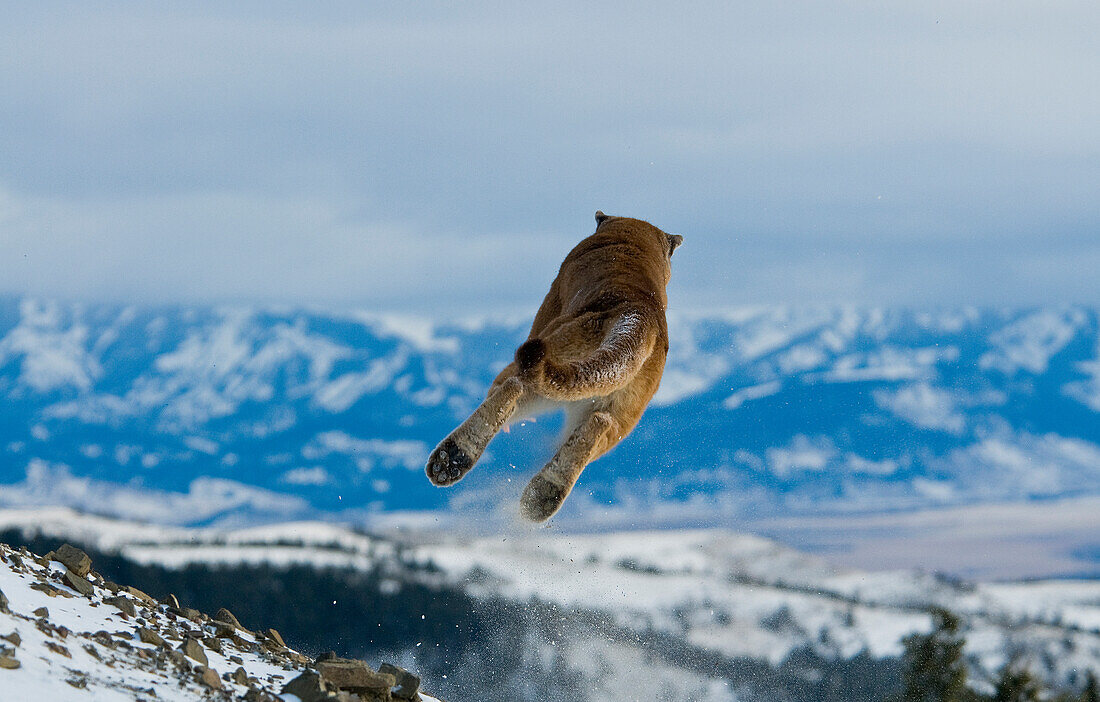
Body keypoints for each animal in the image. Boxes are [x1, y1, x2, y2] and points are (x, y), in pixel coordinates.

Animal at [426, 211, 677, 525]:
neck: (633, 241)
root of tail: (639, 314)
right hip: (612, 406)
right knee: (599, 425)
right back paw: (542, 495)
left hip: (549, 353)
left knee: (513, 386)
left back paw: (452, 457)